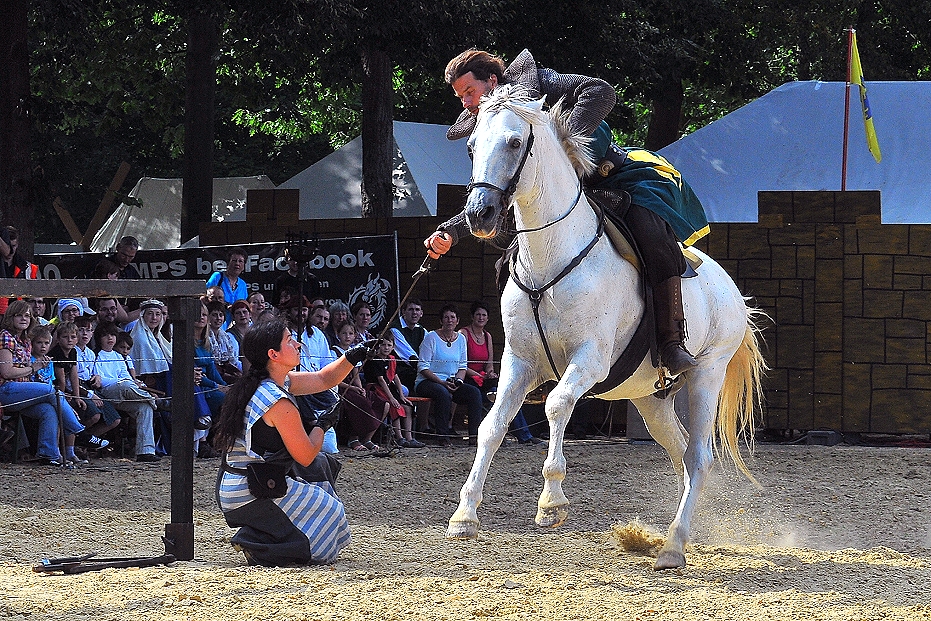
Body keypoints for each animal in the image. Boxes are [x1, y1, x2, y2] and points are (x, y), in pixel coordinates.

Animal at [448, 85, 768, 568]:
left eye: (514, 143)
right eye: (470, 147)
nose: (479, 214)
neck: (552, 259)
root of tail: (732, 294)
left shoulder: (589, 362)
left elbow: (557, 405)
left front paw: (551, 503)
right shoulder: (519, 364)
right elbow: (492, 426)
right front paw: (465, 515)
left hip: (707, 374)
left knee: (698, 456)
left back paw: (673, 545)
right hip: (650, 398)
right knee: (679, 453)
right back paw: (676, 534)